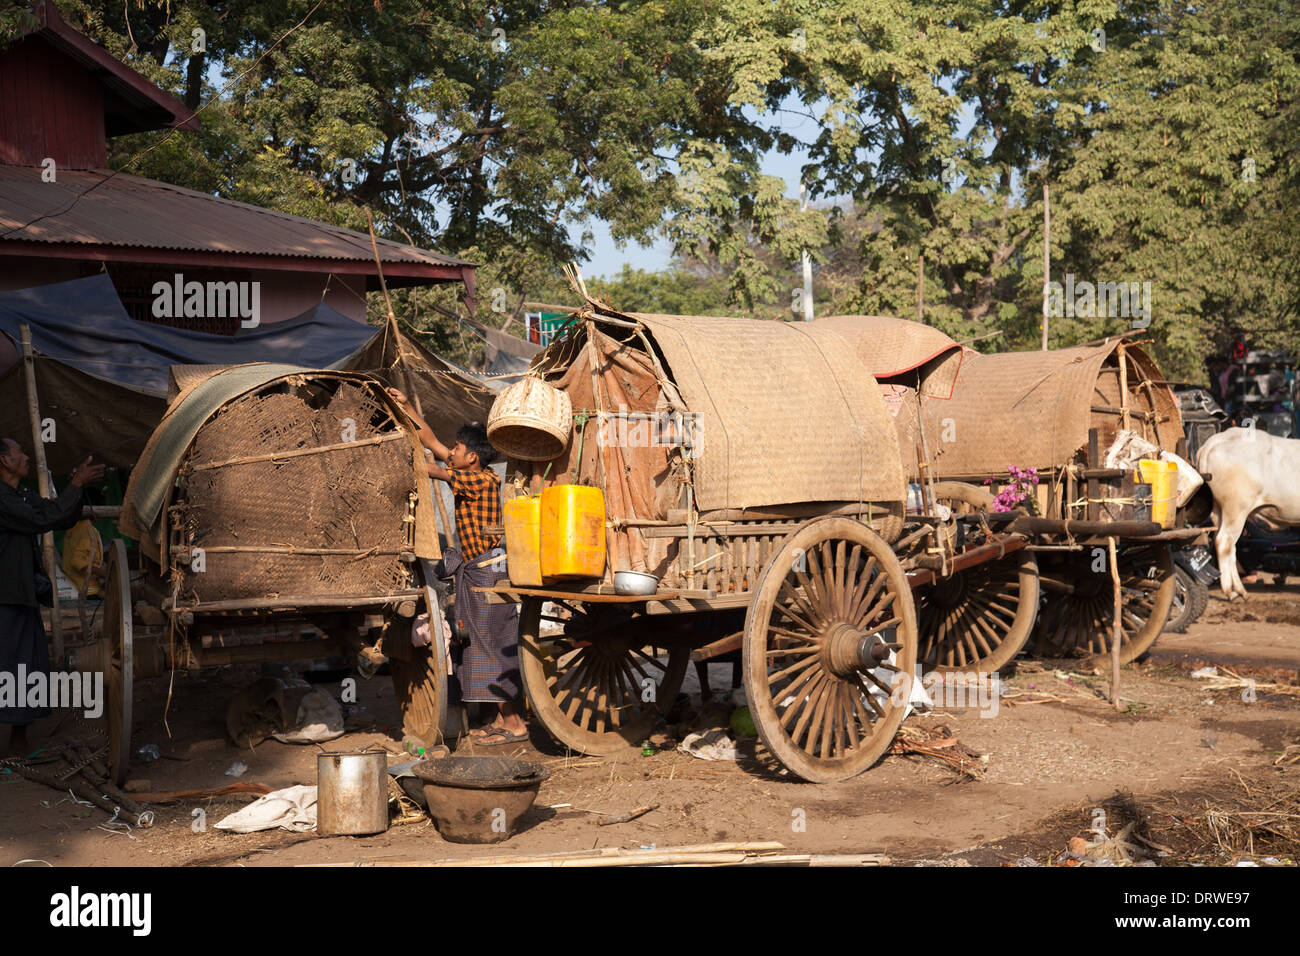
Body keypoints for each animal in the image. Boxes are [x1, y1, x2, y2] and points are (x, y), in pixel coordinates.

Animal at [1196, 429, 1300, 600]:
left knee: (1227, 547)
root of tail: (1217, 440)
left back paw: (1238, 590)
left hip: (1219, 511)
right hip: (1236, 509)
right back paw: (1231, 592)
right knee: (1224, 542)